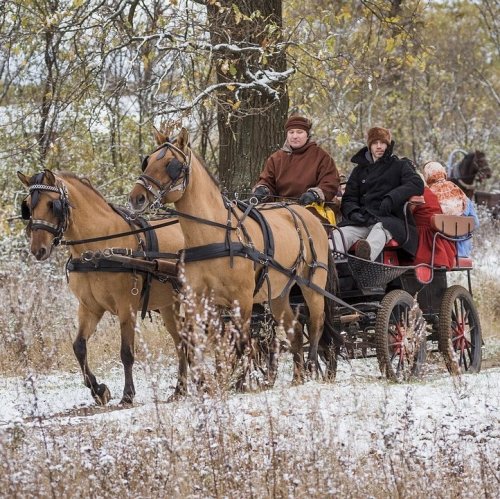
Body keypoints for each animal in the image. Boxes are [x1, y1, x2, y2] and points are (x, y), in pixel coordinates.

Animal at [17, 170, 188, 404]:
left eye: (52, 204)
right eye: (27, 206)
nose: (38, 250)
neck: (96, 251)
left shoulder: (127, 307)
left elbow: (126, 352)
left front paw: (127, 394)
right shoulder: (89, 308)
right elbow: (79, 347)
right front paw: (99, 390)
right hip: (169, 307)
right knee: (181, 342)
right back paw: (181, 389)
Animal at [128, 127, 340, 384]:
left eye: (172, 164)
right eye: (147, 162)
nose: (136, 198)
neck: (215, 235)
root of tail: (305, 213)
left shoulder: (243, 299)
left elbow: (243, 341)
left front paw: (241, 381)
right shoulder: (203, 301)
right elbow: (209, 342)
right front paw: (213, 381)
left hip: (312, 286)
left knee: (316, 323)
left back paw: (311, 368)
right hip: (279, 294)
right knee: (296, 329)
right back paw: (297, 377)